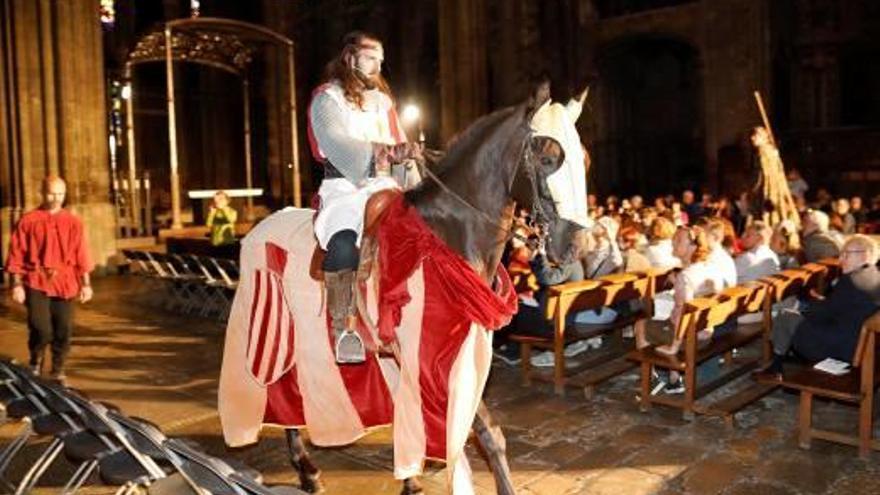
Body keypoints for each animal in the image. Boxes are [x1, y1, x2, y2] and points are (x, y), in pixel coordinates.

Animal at [284, 87, 584, 494]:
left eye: (583, 159)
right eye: (549, 158)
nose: (573, 246)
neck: (449, 235)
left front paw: (413, 477)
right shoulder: (434, 356)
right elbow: (486, 431)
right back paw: (306, 469)